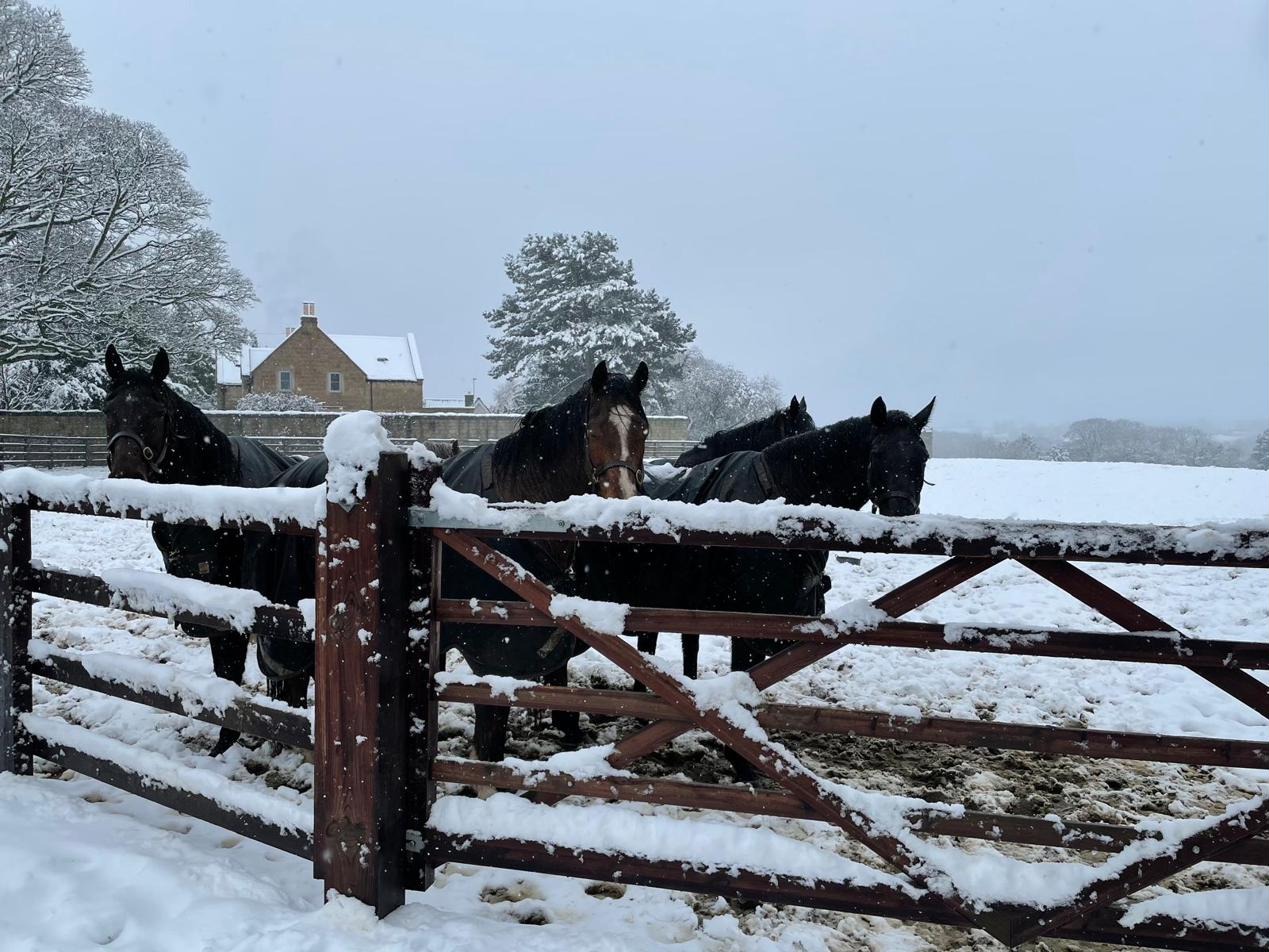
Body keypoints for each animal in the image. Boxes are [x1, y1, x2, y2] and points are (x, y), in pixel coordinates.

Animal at [102, 345, 297, 755]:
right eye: (108, 409)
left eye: (157, 412)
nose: (126, 475)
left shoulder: (233, 606)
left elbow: (230, 670)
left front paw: (225, 743)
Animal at [244, 360, 651, 762]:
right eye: (594, 430)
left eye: (642, 430)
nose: (625, 503)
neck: (514, 515)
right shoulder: (492, 660)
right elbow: (489, 746)